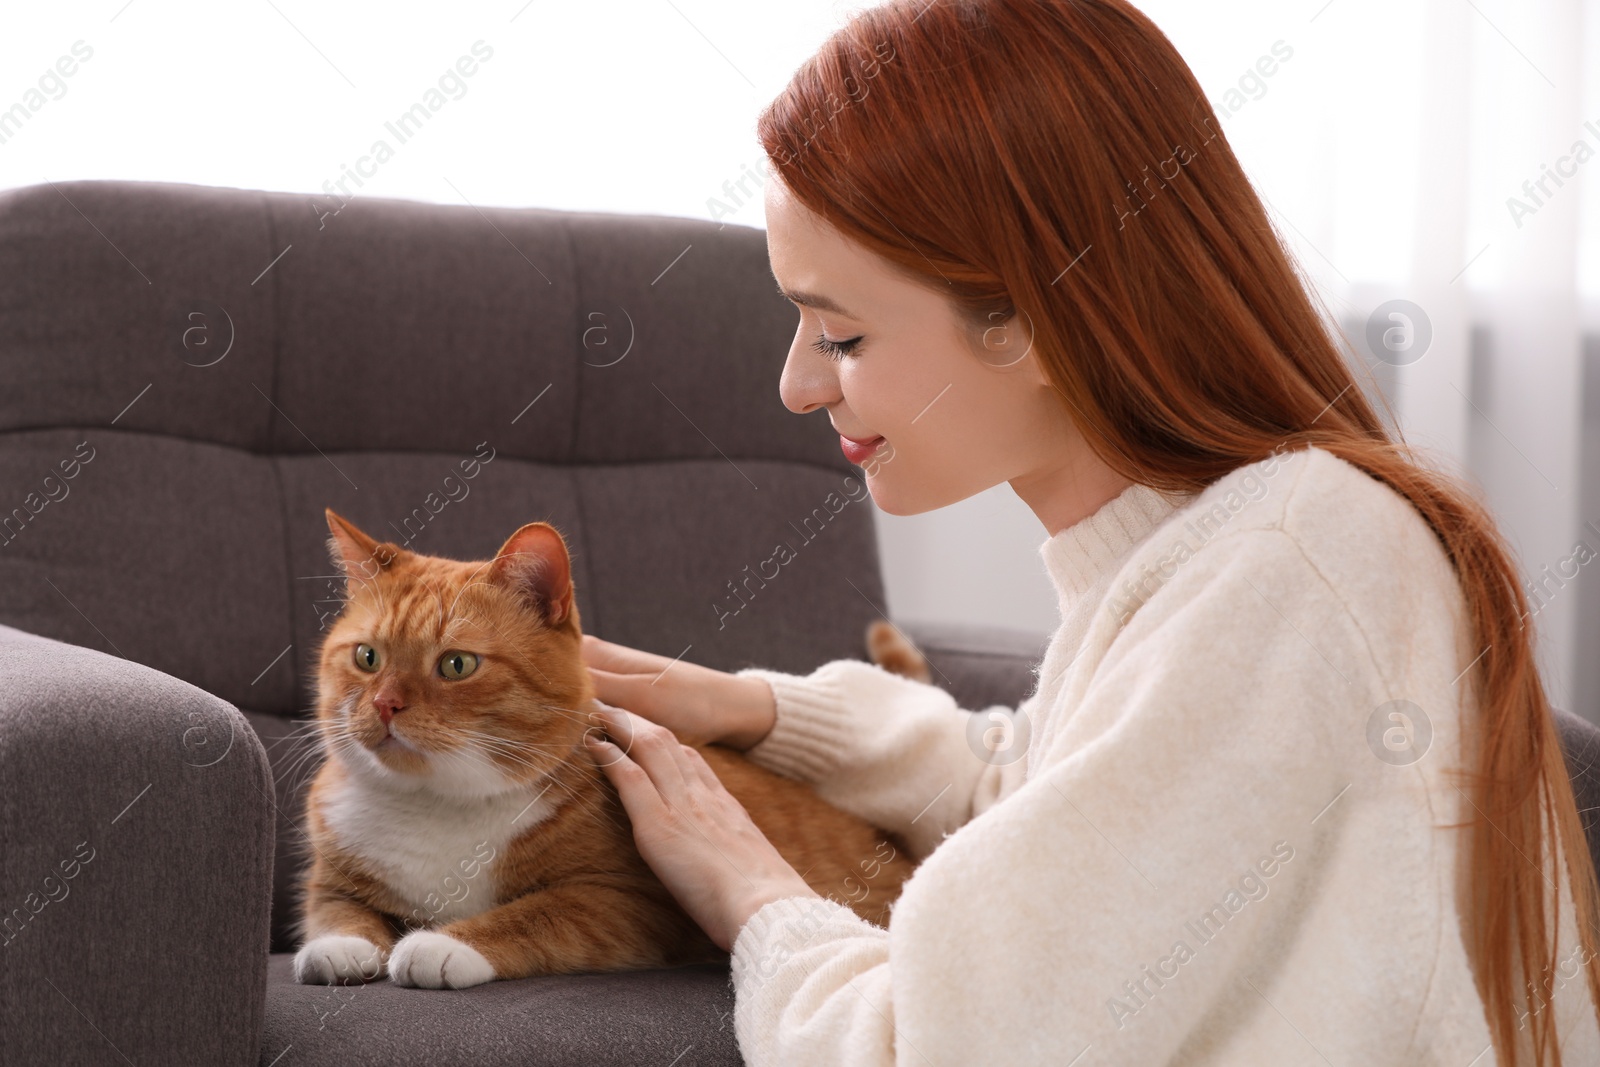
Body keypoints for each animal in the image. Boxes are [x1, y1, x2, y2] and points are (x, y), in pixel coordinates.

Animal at [291, 511, 928, 991]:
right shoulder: (332, 876)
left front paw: (441, 945)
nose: (384, 705)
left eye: (456, 664)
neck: (435, 805)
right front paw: (341, 946)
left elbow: (536, 914)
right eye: (367, 657)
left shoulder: (628, 901)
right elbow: (334, 907)